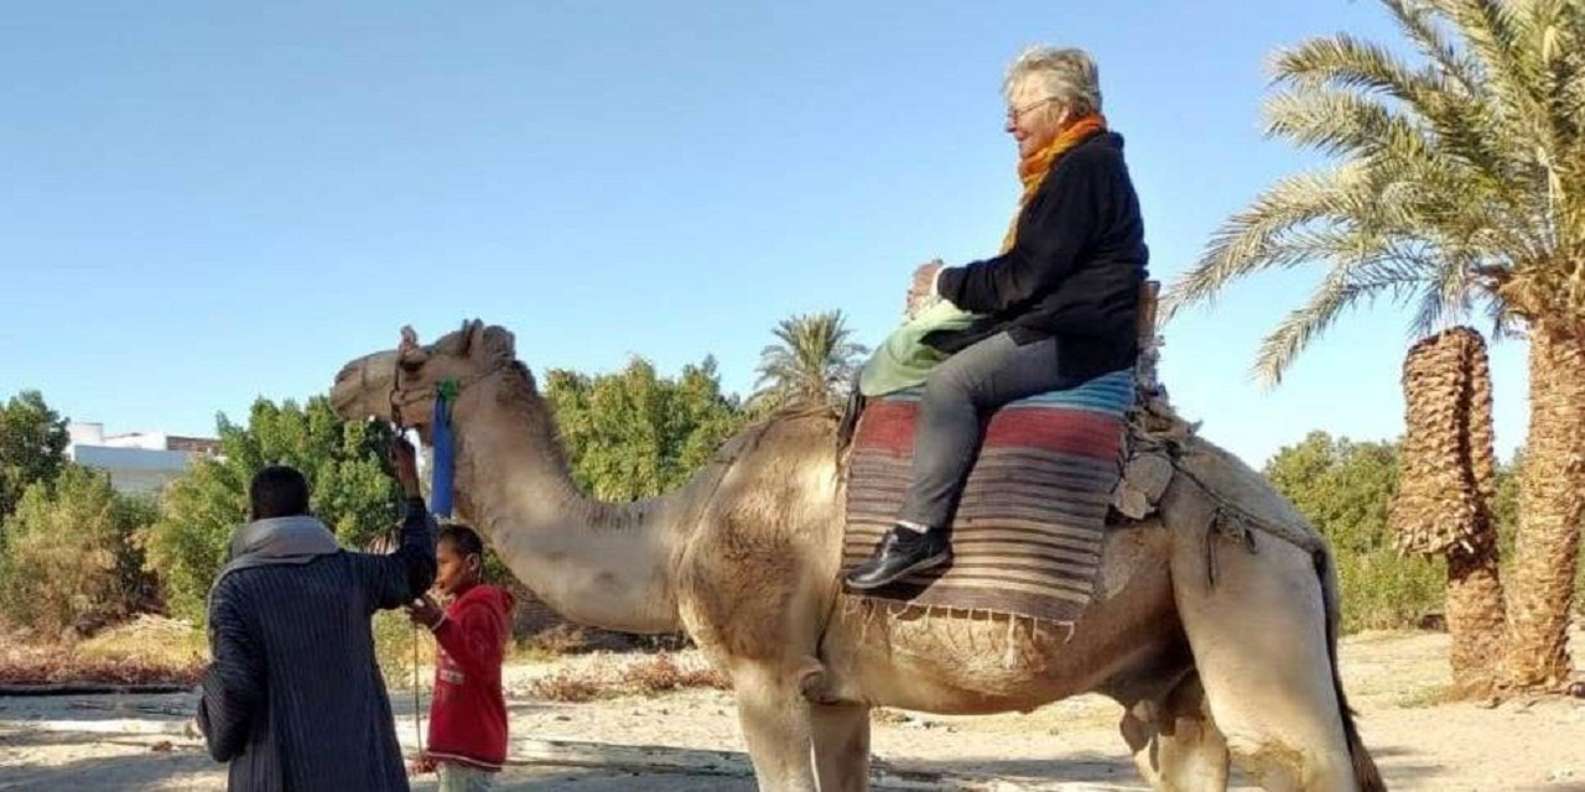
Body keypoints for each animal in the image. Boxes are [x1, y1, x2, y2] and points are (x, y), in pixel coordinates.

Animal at [330, 319, 1385, 792]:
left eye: (415, 358)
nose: (341, 379)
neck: (675, 533)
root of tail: (1301, 531)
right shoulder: (839, 691)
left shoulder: (763, 672)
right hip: (1179, 663)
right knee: (1187, 744)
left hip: (1246, 591)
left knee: (1294, 754)